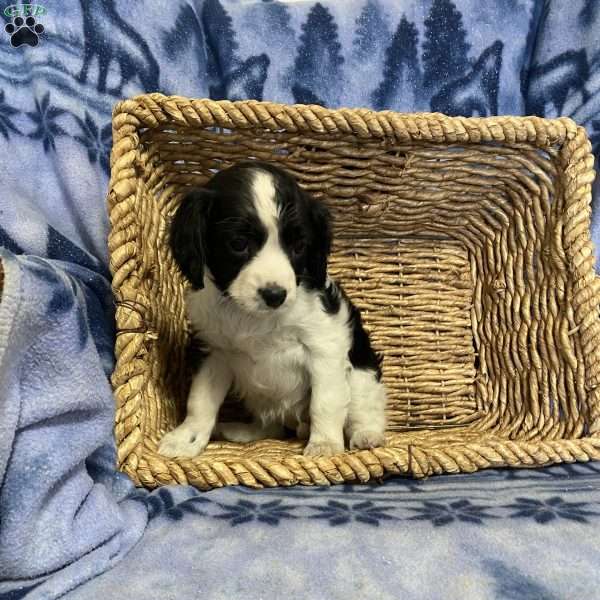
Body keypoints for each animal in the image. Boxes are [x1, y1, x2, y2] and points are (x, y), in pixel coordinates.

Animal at [157, 162, 386, 458]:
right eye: (238, 244)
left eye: (299, 246)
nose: (275, 295)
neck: (255, 318)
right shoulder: (215, 352)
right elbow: (200, 401)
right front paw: (187, 438)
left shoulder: (325, 347)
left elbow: (325, 401)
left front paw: (324, 444)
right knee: (272, 426)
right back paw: (243, 431)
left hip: (361, 376)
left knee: (364, 409)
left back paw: (367, 435)